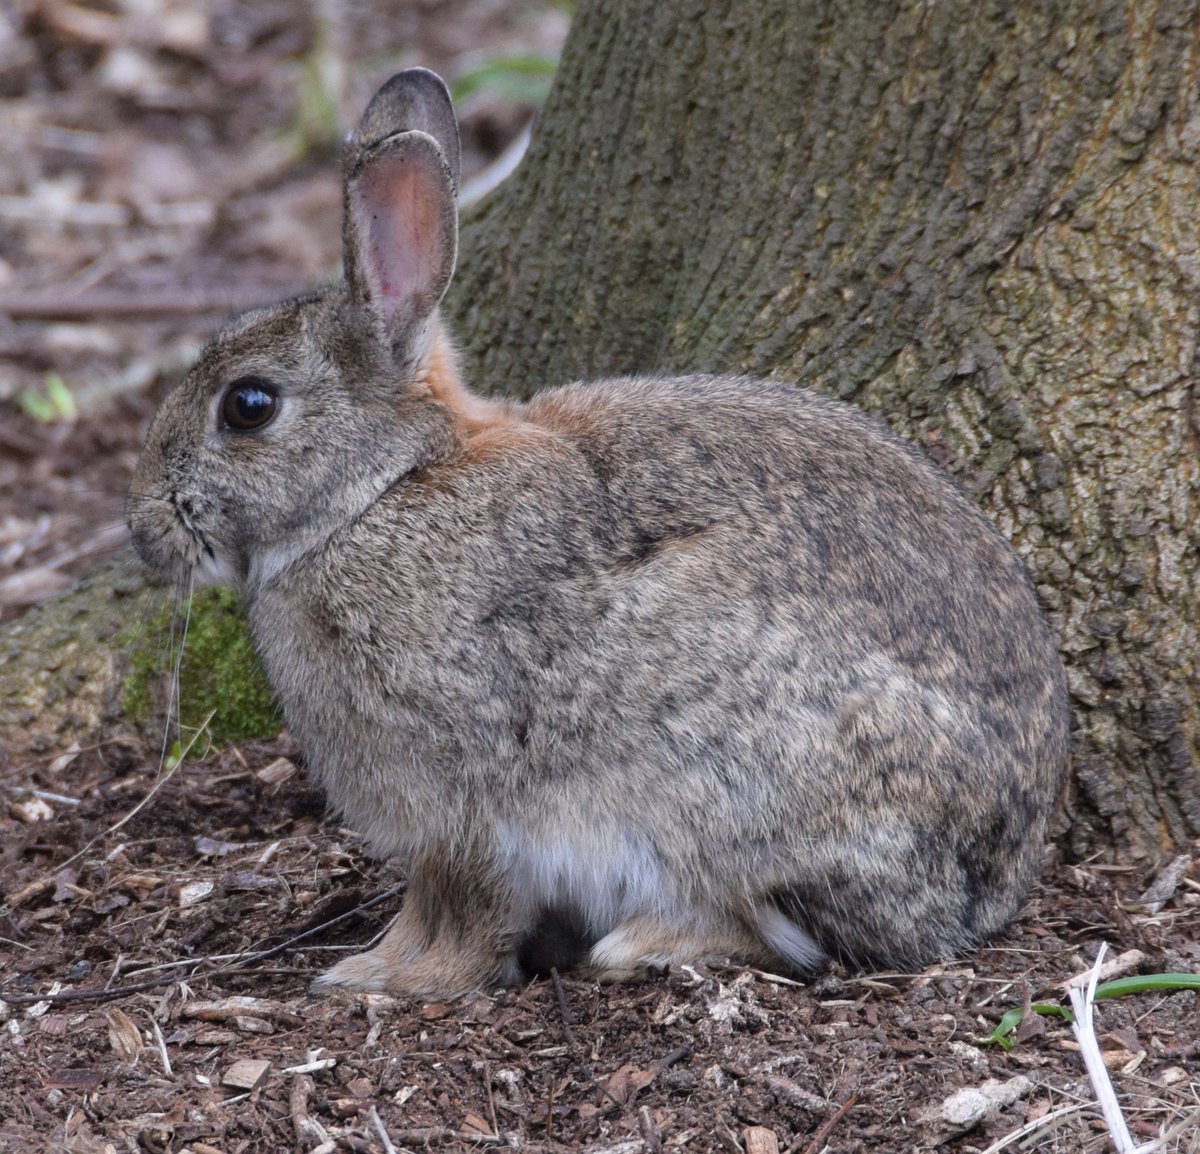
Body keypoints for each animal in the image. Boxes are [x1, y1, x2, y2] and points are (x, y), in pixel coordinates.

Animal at [128, 68, 1070, 999]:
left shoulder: (464, 803)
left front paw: (386, 977)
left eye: (248, 405)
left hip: (734, 779)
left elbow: (460, 907)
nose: (143, 530)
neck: (383, 489)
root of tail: (989, 883)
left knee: (778, 929)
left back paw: (640, 944)